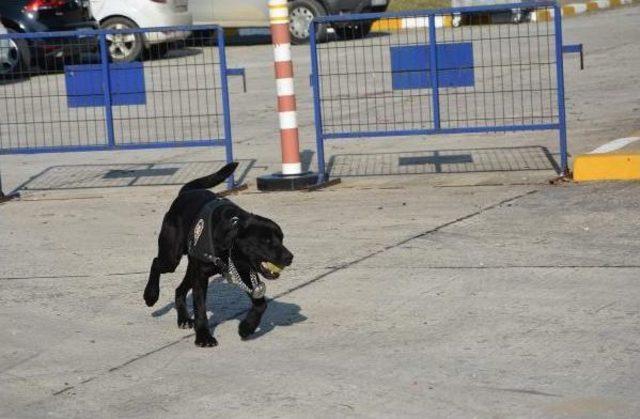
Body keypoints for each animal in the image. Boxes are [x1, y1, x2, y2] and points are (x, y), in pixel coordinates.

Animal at [142, 162, 292, 346]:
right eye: (266, 241)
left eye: (281, 238)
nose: (290, 257)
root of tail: (185, 193)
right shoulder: (201, 277)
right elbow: (200, 308)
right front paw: (204, 337)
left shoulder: (243, 272)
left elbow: (260, 305)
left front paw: (246, 327)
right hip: (172, 256)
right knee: (156, 262)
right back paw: (151, 295)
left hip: (191, 265)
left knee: (179, 290)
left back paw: (184, 319)